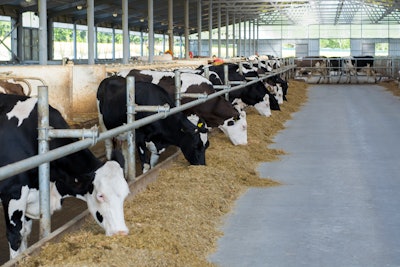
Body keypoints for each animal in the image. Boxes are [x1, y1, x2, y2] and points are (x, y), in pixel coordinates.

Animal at [0, 93, 130, 260]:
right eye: (100, 196)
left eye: (126, 194)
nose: (121, 232)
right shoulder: (13, 193)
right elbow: (15, 237)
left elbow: (25, 235)